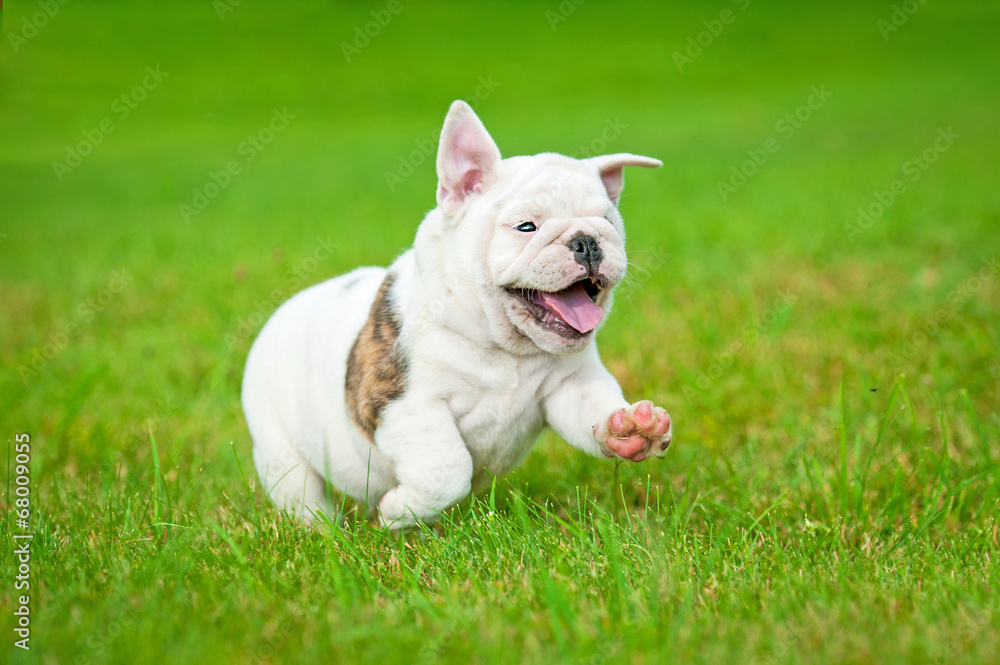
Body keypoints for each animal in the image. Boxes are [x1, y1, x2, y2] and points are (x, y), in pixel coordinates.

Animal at [244, 101, 672, 528]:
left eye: (608, 222)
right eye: (526, 227)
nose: (586, 241)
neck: (506, 347)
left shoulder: (571, 386)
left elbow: (592, 410)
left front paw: (632, 429)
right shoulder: (406, 404)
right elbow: (446, 472)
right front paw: (396, 512)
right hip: (279, 448)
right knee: (302, 492)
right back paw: (326, 528)